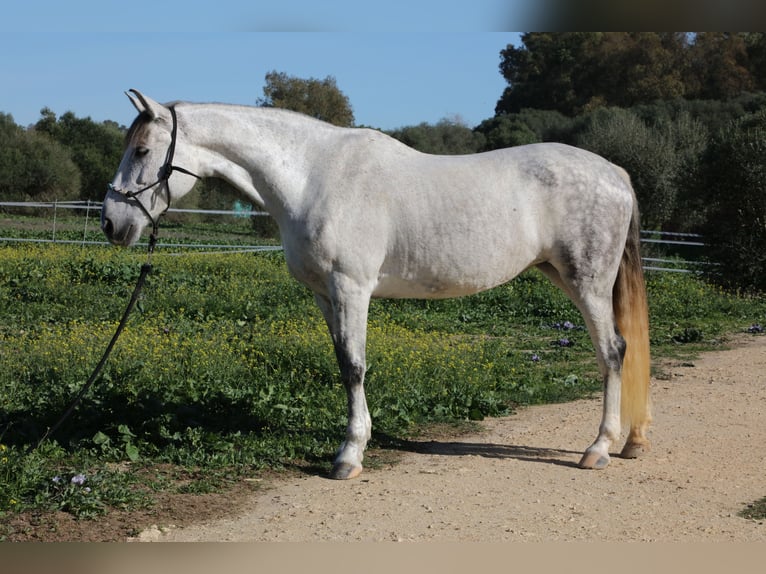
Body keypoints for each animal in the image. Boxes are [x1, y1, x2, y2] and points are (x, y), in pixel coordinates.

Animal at [103, 90, 656, 482]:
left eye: (143, 150)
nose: (111, 223)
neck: (311, 176)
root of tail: (615, 172)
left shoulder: (352, 288)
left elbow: (354, 366)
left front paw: (349, 456)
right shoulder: (325, 295)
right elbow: (342, 364)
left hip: (586, 281)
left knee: (612, 351)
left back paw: (598, 449)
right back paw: (632, 441)